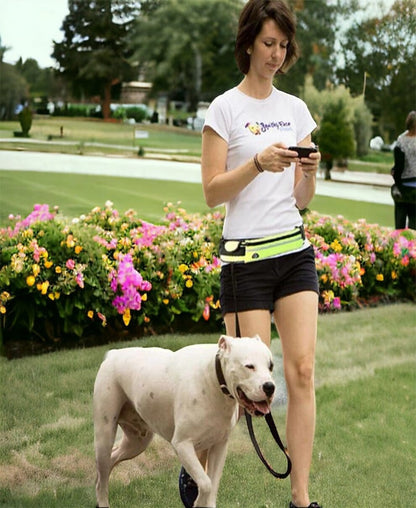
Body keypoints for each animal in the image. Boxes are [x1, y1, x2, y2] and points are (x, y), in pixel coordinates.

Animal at [94, 336, 276, 506]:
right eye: (249, 366)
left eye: (271, 366)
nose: (270, 386)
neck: (213, 379)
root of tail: (113, 354)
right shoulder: (182, 445)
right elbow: (206, 483)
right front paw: (197, 502)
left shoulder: (219, 446)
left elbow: (213, 484)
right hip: (105, 435)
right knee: (103, 472)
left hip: (138, 441)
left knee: (111, 461)